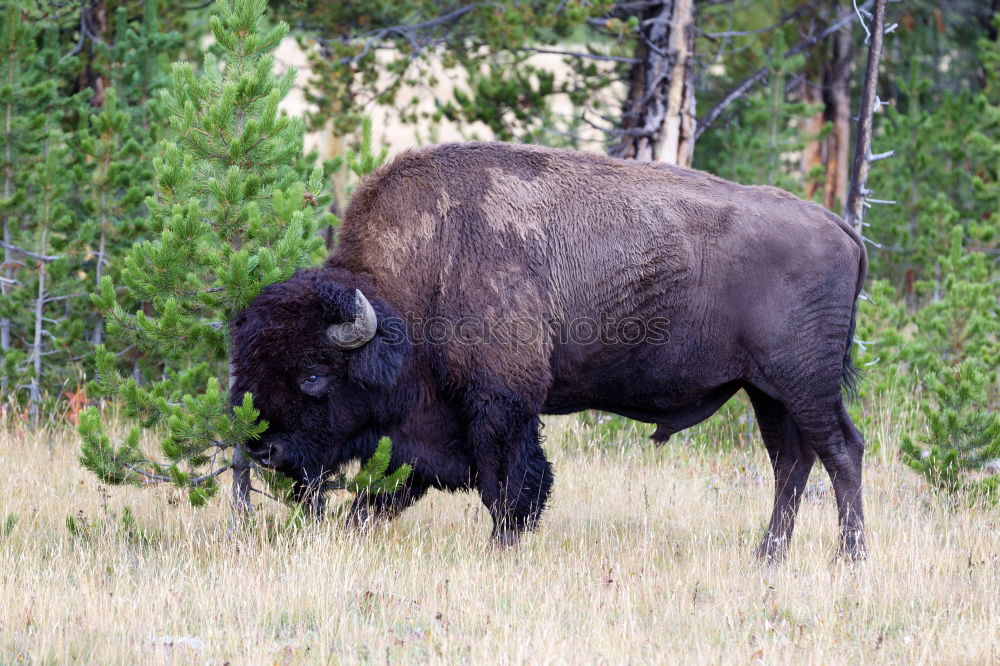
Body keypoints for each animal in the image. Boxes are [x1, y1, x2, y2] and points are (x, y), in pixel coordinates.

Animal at [229, 141, 868, 560]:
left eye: (315, 374)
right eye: (249, 364)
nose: (263, 450)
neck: (423, 274)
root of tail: (838, 226)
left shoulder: (500, 406)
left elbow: (509, 485)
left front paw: (503, 546)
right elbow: (396, 488)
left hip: (803, 383)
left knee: (840, 451)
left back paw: (850, 556)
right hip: (766, 391)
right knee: (791, 462)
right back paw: (770, 554)